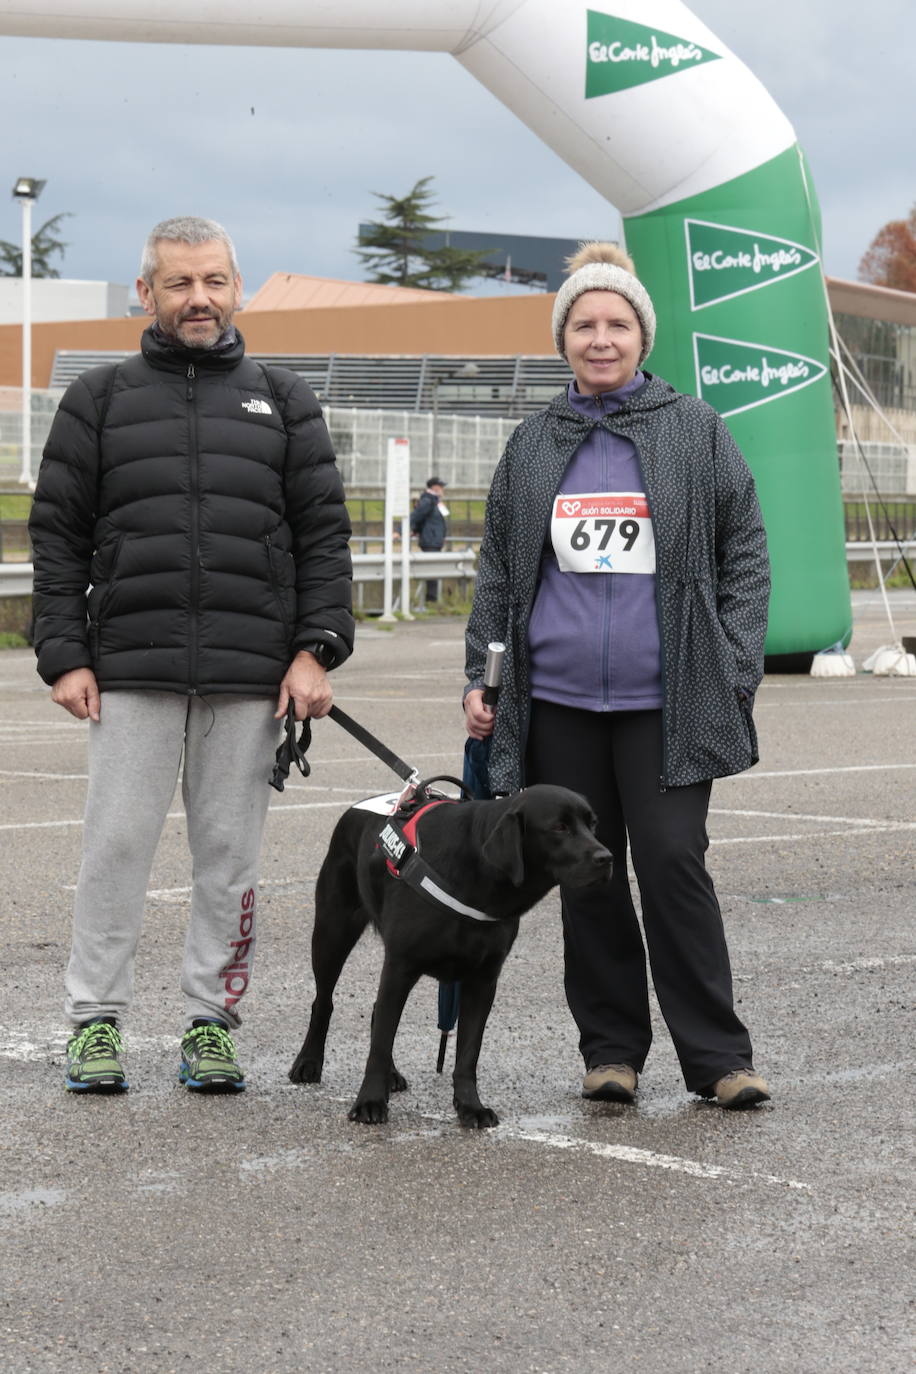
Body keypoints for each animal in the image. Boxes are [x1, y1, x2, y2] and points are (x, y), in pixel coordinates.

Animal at [289, 785, 612, 1126]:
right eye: (559, 827)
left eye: (592, 824)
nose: (607, 858)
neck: (478, 874)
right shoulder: (401, 964)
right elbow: (379, 1045)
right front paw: (369, 1102)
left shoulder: (483, 979)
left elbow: (467, 1053)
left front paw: (471, 1106)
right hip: (332, 932)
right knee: (324, 1002)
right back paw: (308, 1062)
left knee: (378, 1012)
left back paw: (391, 1074)